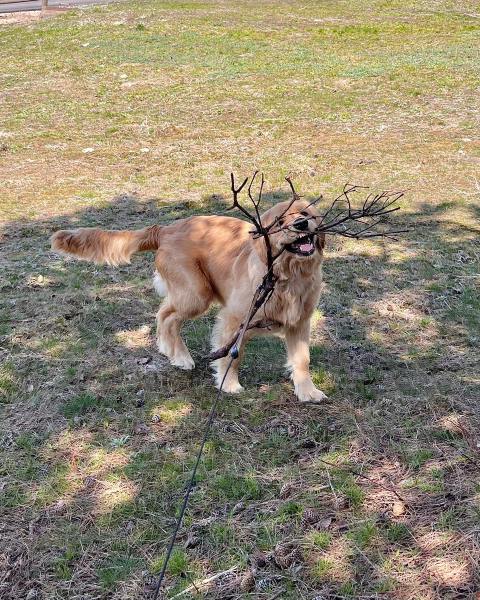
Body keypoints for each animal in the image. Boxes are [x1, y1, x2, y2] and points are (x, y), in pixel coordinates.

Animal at [52, 200, 328, 404]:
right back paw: (179, 355)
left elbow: (302, 359)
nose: (301, 224)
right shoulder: (235, 319)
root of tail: (165, 229)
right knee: (166, 316)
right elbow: (232, 356)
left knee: (165, 313)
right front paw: (229, 384)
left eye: (305, 213)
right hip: (197, 293)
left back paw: (172, 351)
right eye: (280, 222)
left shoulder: (300, 323)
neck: (288, 277)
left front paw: (307, 391)